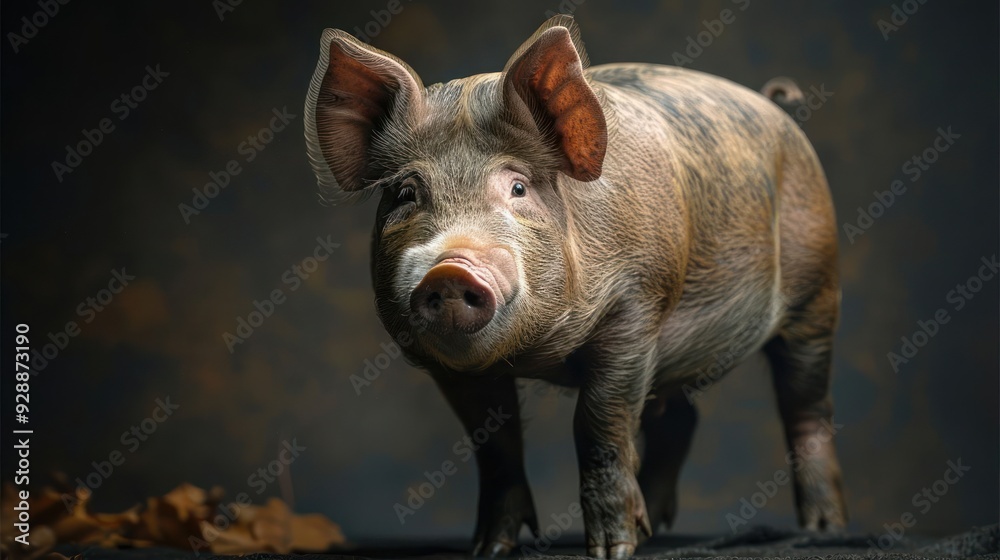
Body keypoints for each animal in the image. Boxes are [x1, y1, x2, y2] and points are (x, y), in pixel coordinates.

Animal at [304, 15, 847, 558]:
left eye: (518, 187)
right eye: (406, 193)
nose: (451, 270)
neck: (534, 353)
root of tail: (774, 107)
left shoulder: (635, 310)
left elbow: (597, 424)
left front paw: (611, 551)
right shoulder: (454, 370)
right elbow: (494, 443)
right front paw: (491, 549)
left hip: (817, 289)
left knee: (806, 405)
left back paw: (821, 529)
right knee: (678, 418)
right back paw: (656, 530)